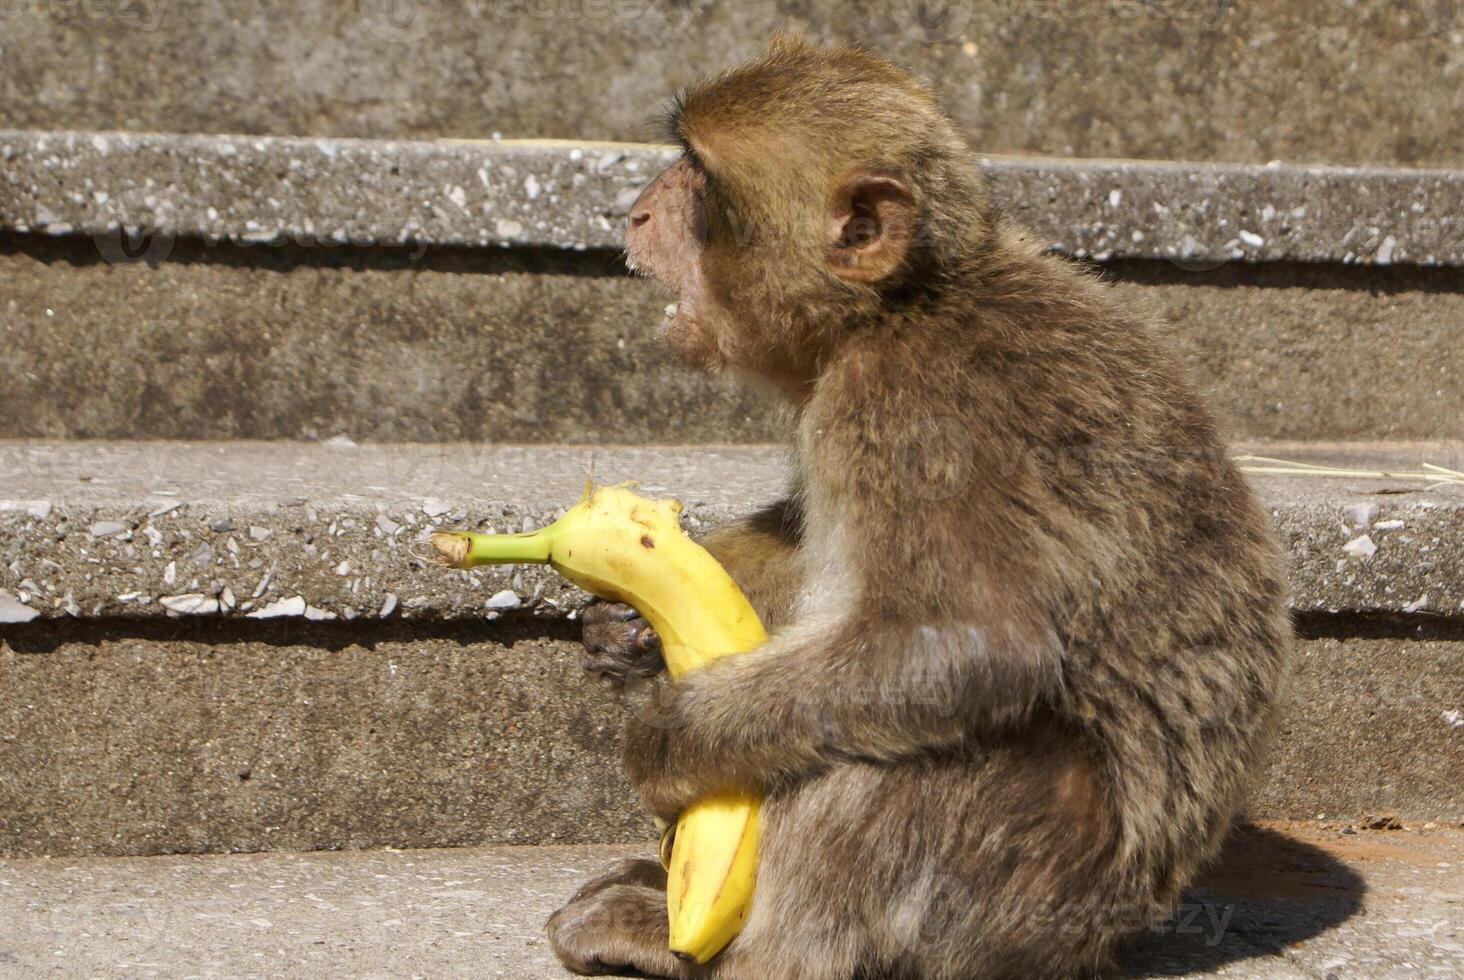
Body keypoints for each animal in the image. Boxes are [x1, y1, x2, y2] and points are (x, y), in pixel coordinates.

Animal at [550, 32, 1282, 978]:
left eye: (699, 177)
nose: (638, 214)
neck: (898, 309)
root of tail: (1110, 931)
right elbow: (808, 543)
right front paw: (629, 627)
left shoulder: (909, 414)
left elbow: (972, 646)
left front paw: (667, 737)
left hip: (1022, 894)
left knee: (901, 745)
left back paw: (729, 953)